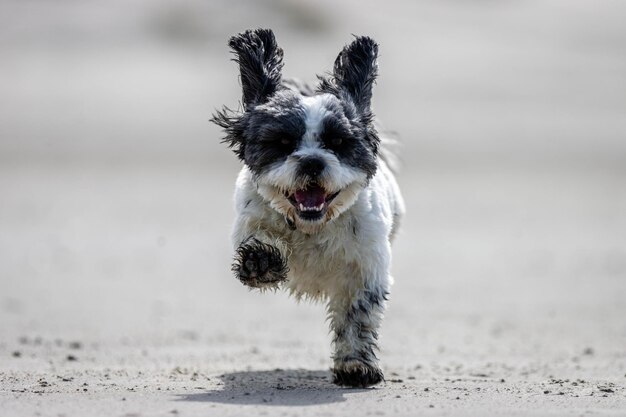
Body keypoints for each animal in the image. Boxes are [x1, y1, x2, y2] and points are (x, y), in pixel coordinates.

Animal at [212, 29, 402, 386]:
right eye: (284, 143)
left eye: (337, 142)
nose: (312, 161)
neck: (313, 226)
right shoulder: (250, 218)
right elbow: (258, 238)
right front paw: (261, 261)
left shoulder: (365, 267)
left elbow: (357, 316)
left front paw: (356, 366)